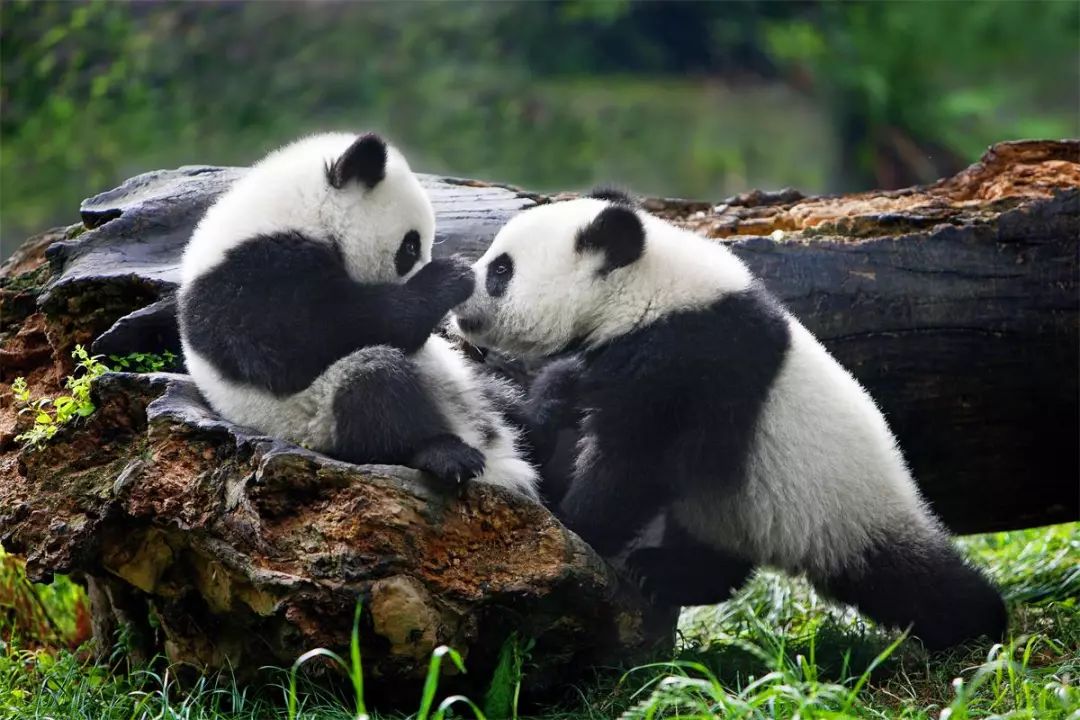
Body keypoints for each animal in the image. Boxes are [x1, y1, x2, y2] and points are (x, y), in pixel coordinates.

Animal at [178, 132, 538, 498]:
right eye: (410, 247)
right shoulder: (248, 279)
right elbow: (305, 340)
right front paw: (451, 277)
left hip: (471, 385)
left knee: (512, 404)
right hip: (317, 418)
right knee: (377, 388)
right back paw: (447, 454)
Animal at [452, 189, 1007, 649]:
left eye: (500, 270)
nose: (458, 296)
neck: (647, 289)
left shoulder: (690, 358)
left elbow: (634, 461)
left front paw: (575, 522)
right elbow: (566, 395)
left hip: (846, 508)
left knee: (916, 582)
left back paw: (982, 626)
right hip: (733, 509)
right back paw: (666, 572)